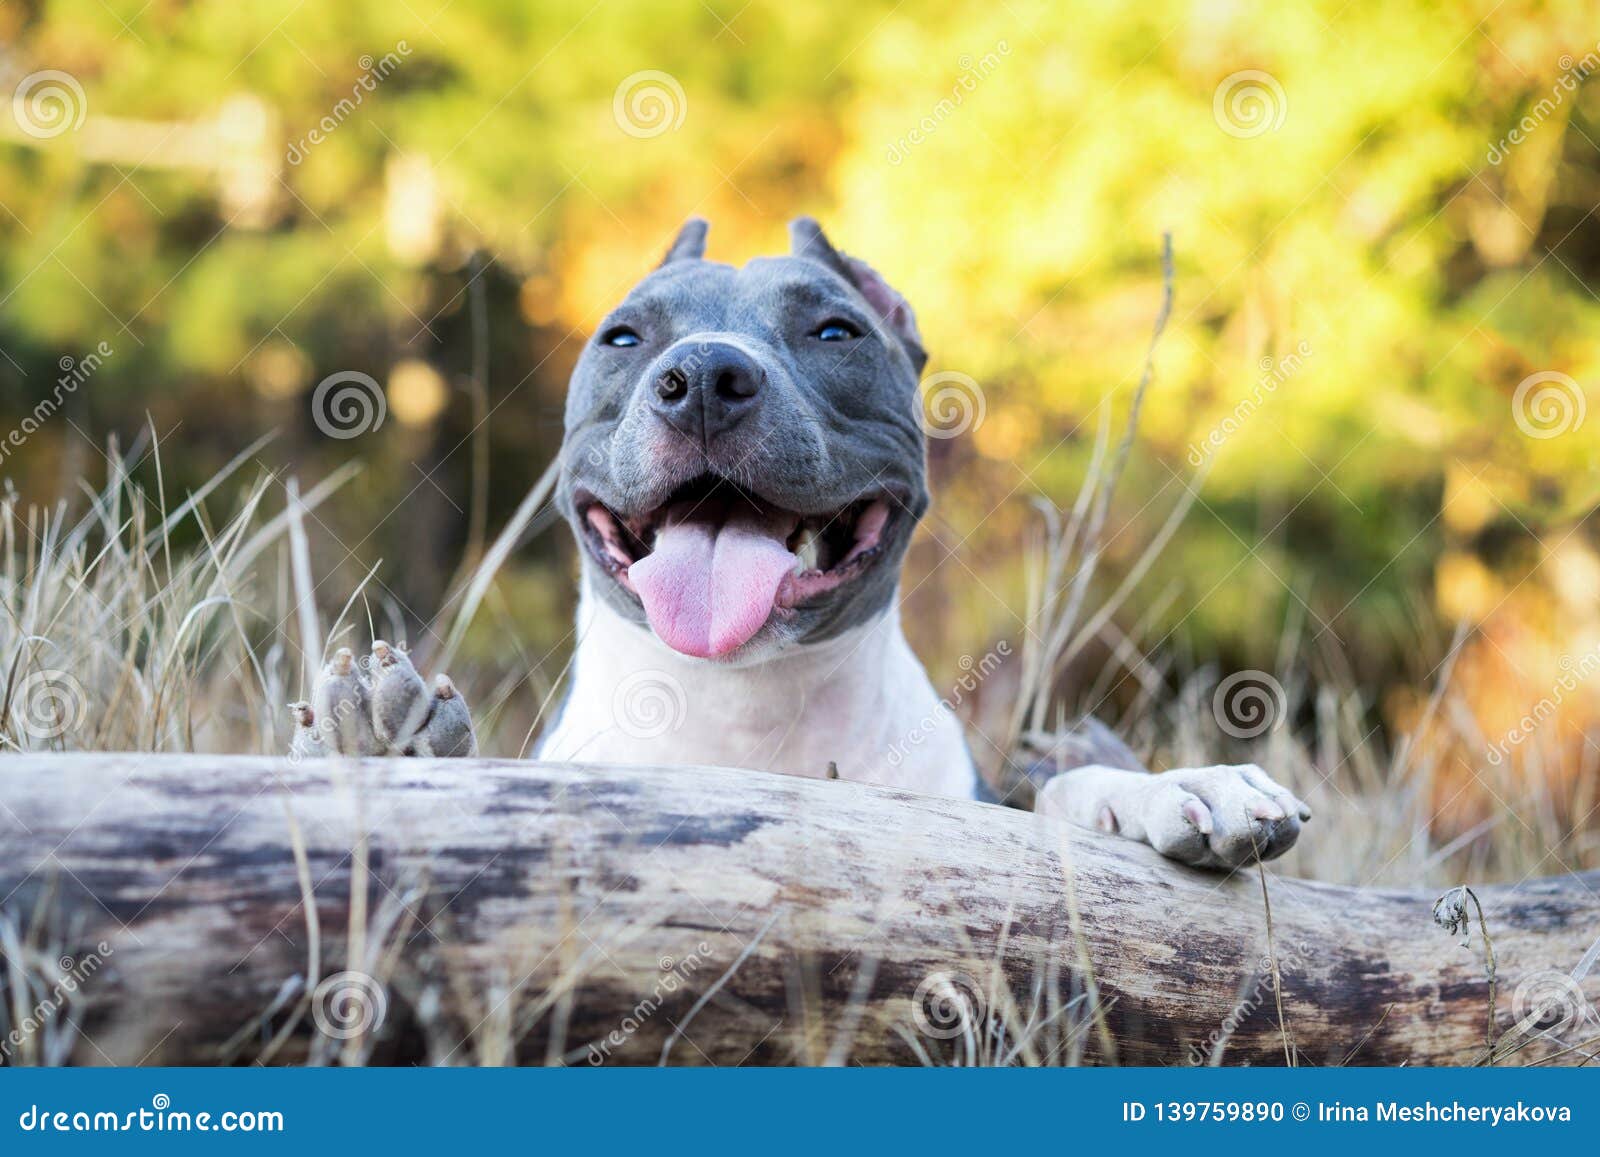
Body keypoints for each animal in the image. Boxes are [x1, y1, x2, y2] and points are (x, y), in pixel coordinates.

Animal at [297, 217, 1312, 870]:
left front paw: (1180, 786)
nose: (705, 374)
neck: (746, 705)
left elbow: (1055, 793)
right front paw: (377, 742)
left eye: (835, 330)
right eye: (623, 337)